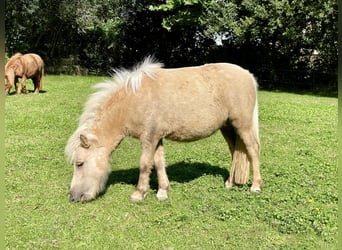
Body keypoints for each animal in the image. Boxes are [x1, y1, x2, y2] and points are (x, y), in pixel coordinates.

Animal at [65, 55, 262, 202]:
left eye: (79, 163)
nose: (73, 197)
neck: (134, 100)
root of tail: (248, 75)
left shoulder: (149, 138)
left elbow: (145, 164)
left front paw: (139, 193)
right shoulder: (156, 137)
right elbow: (159, 163)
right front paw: (162, 191)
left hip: (243, 125)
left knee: (253, 150)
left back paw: (256, 186)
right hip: (227, 128)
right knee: (235, 152)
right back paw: (229, 183)